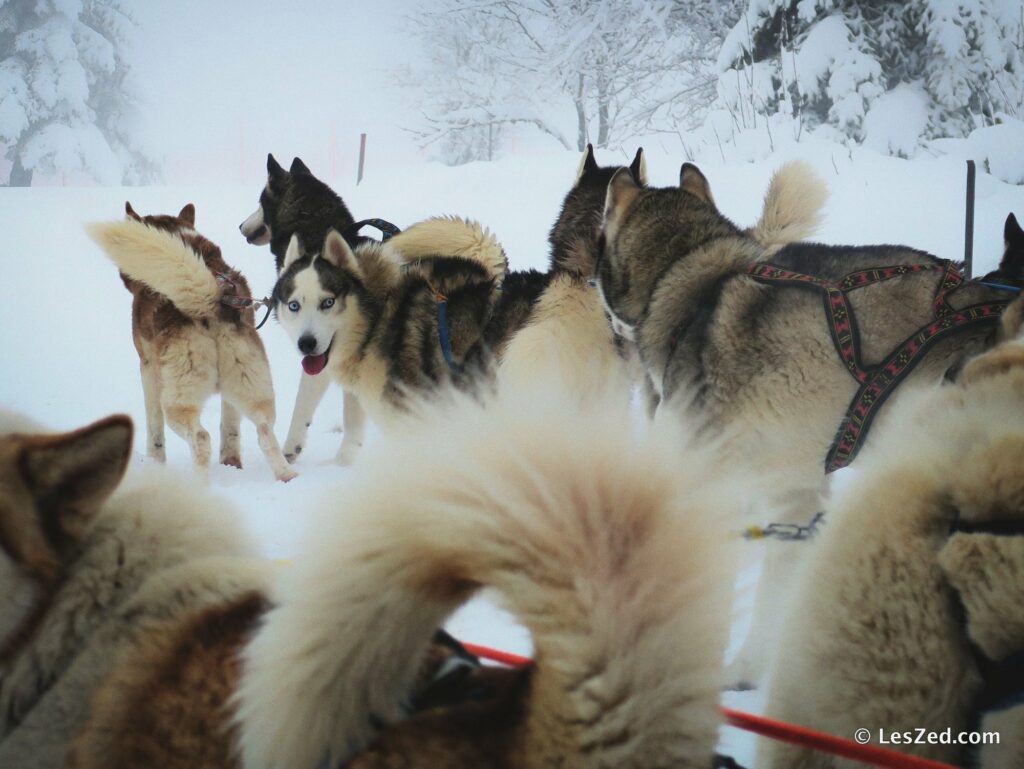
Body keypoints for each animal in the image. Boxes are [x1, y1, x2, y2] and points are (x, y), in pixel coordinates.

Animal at [87, 204, 296, 481]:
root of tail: (213, 304)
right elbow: (230, 429)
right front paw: (230, 462)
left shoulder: (148, 369)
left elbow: (154, 429)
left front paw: (155, 464)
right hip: (252, 388)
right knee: (264, 432)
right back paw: (286, 475)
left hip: (177, 401)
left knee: (200, 437)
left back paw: (198, 484)